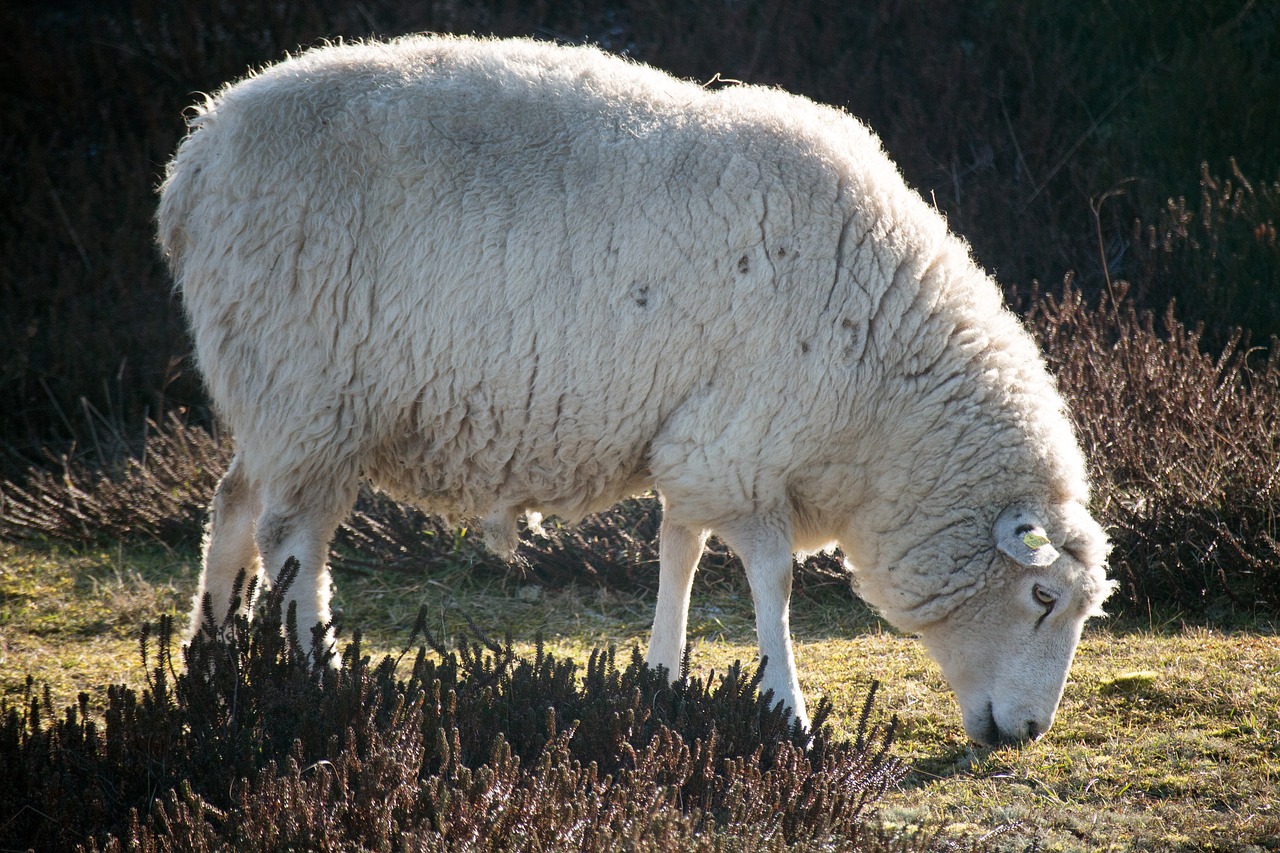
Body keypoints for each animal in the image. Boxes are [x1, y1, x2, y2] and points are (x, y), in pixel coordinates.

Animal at [160, 33, 1116, 742]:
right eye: (1042, 597)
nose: (1029, 732)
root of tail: (193, 160)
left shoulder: (695, 443)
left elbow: (678, 549)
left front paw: (663, 674)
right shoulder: (743, 445)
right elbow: (769, 578)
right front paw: (786, 709)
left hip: (273, 392)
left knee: (234, 503)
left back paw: (213, 662)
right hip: (311, 388)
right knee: (294, 538)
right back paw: (314, 680)